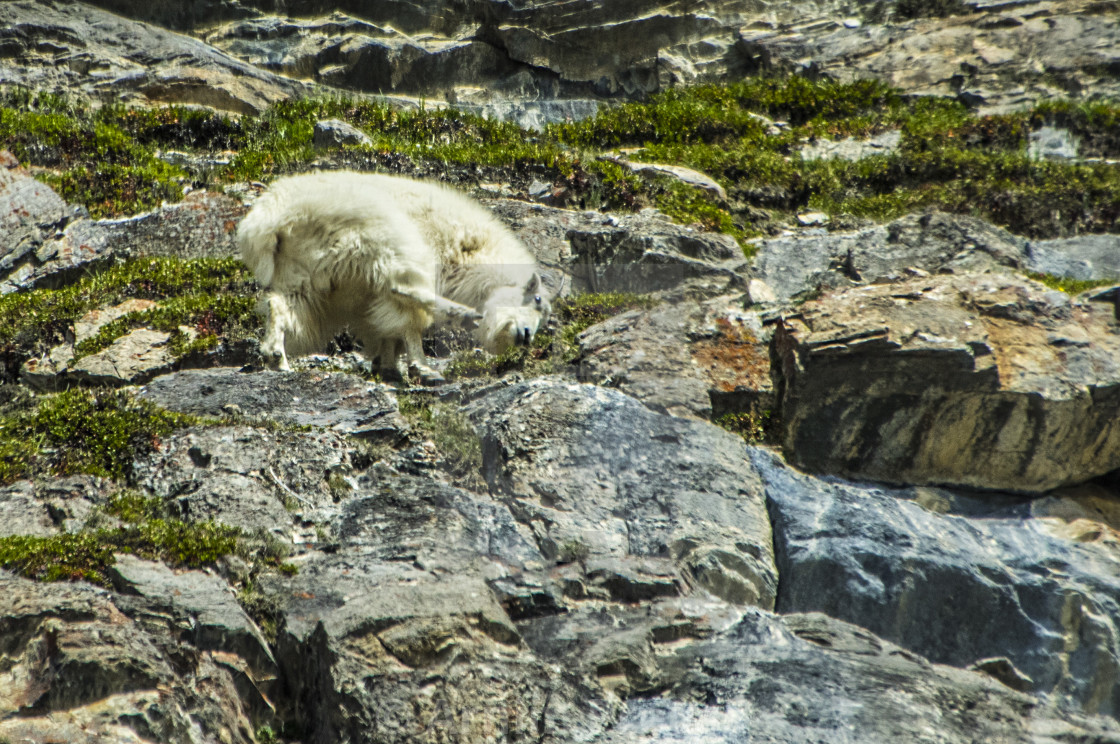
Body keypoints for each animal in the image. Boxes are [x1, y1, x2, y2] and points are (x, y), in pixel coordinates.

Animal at [237, 171, 551, 380]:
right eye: (536, 299)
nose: (526, 336)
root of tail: (271, 215)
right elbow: (405, 319)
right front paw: (416, 365)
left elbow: (390, 328)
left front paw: (386, 363)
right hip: (384, 234)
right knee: (402, 287)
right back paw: (461, 316)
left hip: (301, 273)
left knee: (280, 304)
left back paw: (276, 355)